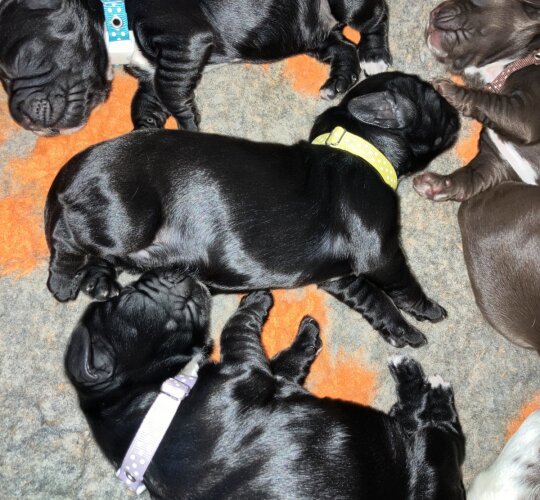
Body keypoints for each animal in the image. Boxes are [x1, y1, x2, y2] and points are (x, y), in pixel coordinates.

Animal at [0, 0, 388, 135]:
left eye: (20, 62)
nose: (21, 119)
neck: (114, 14)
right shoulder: (149, 76)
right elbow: (145, 105)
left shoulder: (182, 39)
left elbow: (171, 91)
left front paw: (188, 123)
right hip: (310, 34)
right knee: (342, 47)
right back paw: (338, 82)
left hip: (347, 5)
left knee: (374, 18)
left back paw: (375, 57)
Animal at [47, 72, 460, 348]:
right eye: (432, 95)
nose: (457, 109)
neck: (361, 145)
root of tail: (68, 170)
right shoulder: (382, 253)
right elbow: (402, 286)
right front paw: (429, 310)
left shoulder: (339, 276)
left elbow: (375, 300)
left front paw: (401, 331)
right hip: (127, 219)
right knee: (68, 237)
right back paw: (64, 282)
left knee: (97, 252)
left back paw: (98, 282)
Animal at [65, 270, 466, 500]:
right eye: (121, 297)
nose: (168, 269)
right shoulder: (245, 367)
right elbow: (237, 328)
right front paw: (256, 296)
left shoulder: (268, 378)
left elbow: (285, 363)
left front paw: (306, 336)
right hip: (427, 457)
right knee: (443, 430)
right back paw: (424, 386)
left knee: (411, 420)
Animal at [412, 0, 536, 200]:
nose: (433, 12)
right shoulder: (494, 161)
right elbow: (469, 177)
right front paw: (434, 184)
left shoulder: (527, 112)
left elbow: (489, 99)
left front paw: (447, 88)